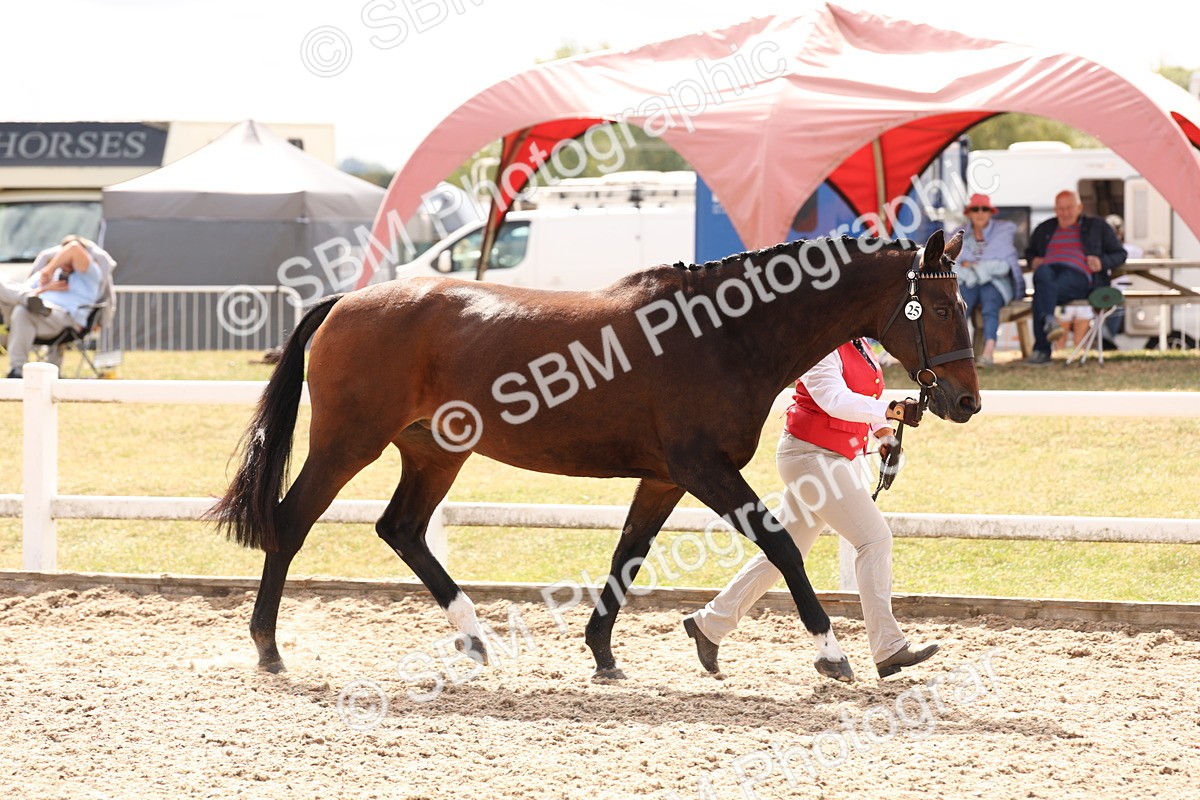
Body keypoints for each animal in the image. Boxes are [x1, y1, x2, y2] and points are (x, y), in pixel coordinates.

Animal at [207, 228, 980, 683]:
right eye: (942, 308)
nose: (966, 402)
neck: (722, 334)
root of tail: (347, 300)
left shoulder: (665, 478)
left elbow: (627, 555)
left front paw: (604, 652)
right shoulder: (703, 469)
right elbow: (782, 548)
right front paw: (832, 654)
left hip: (433, 452)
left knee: (401, 529)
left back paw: (475, 639)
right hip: (349, 442)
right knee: (292, 521)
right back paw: (268, 647)